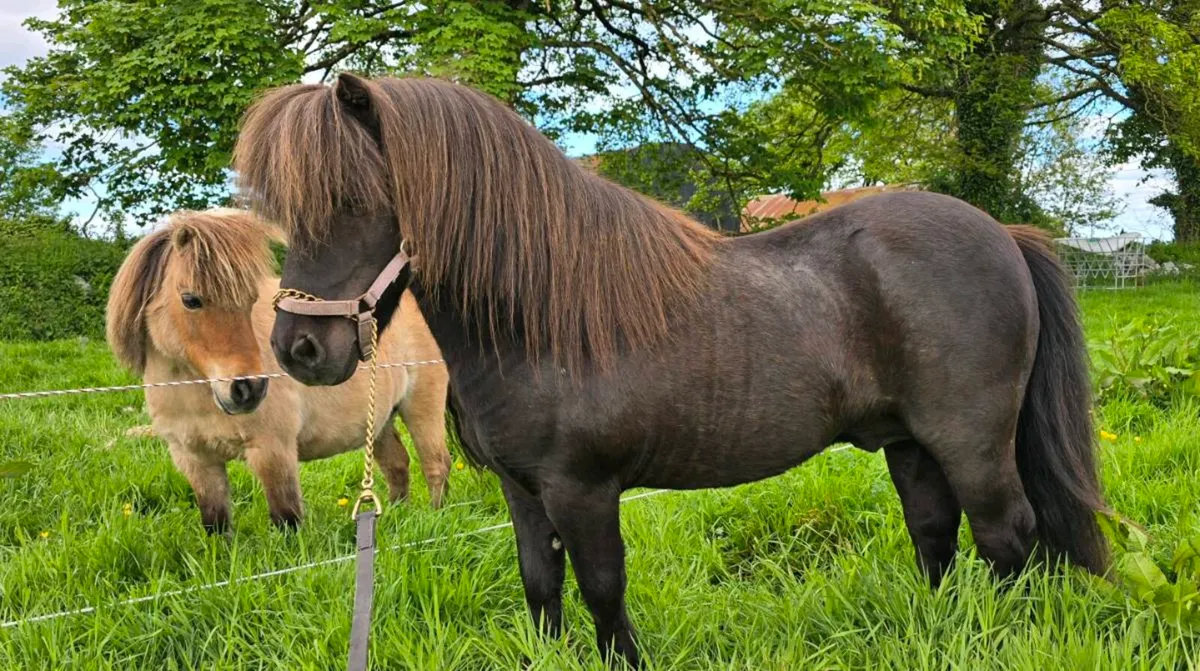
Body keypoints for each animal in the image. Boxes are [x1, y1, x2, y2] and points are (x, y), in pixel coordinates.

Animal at [105, 208, 451, 533]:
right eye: (190, 299)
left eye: (250, 299)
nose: (248, 390)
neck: (192, 394)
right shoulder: (195, 460)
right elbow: (216, 524)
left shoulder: (272, 450)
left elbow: (287, 519)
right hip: (379, 420)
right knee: (397, 465)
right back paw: (397, 516)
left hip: (422, 408)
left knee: (436, 465)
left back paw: (436, 517)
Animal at [232, 73, 1109, 667]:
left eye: (355, 200)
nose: (298, 349)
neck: (541, 315)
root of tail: (1002, 235)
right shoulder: (522, 488)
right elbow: (539, 582)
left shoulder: (584, 488)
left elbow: (602, 586)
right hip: (909, 442)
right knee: (936, 535)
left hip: (971, 441)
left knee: (1008, 534)